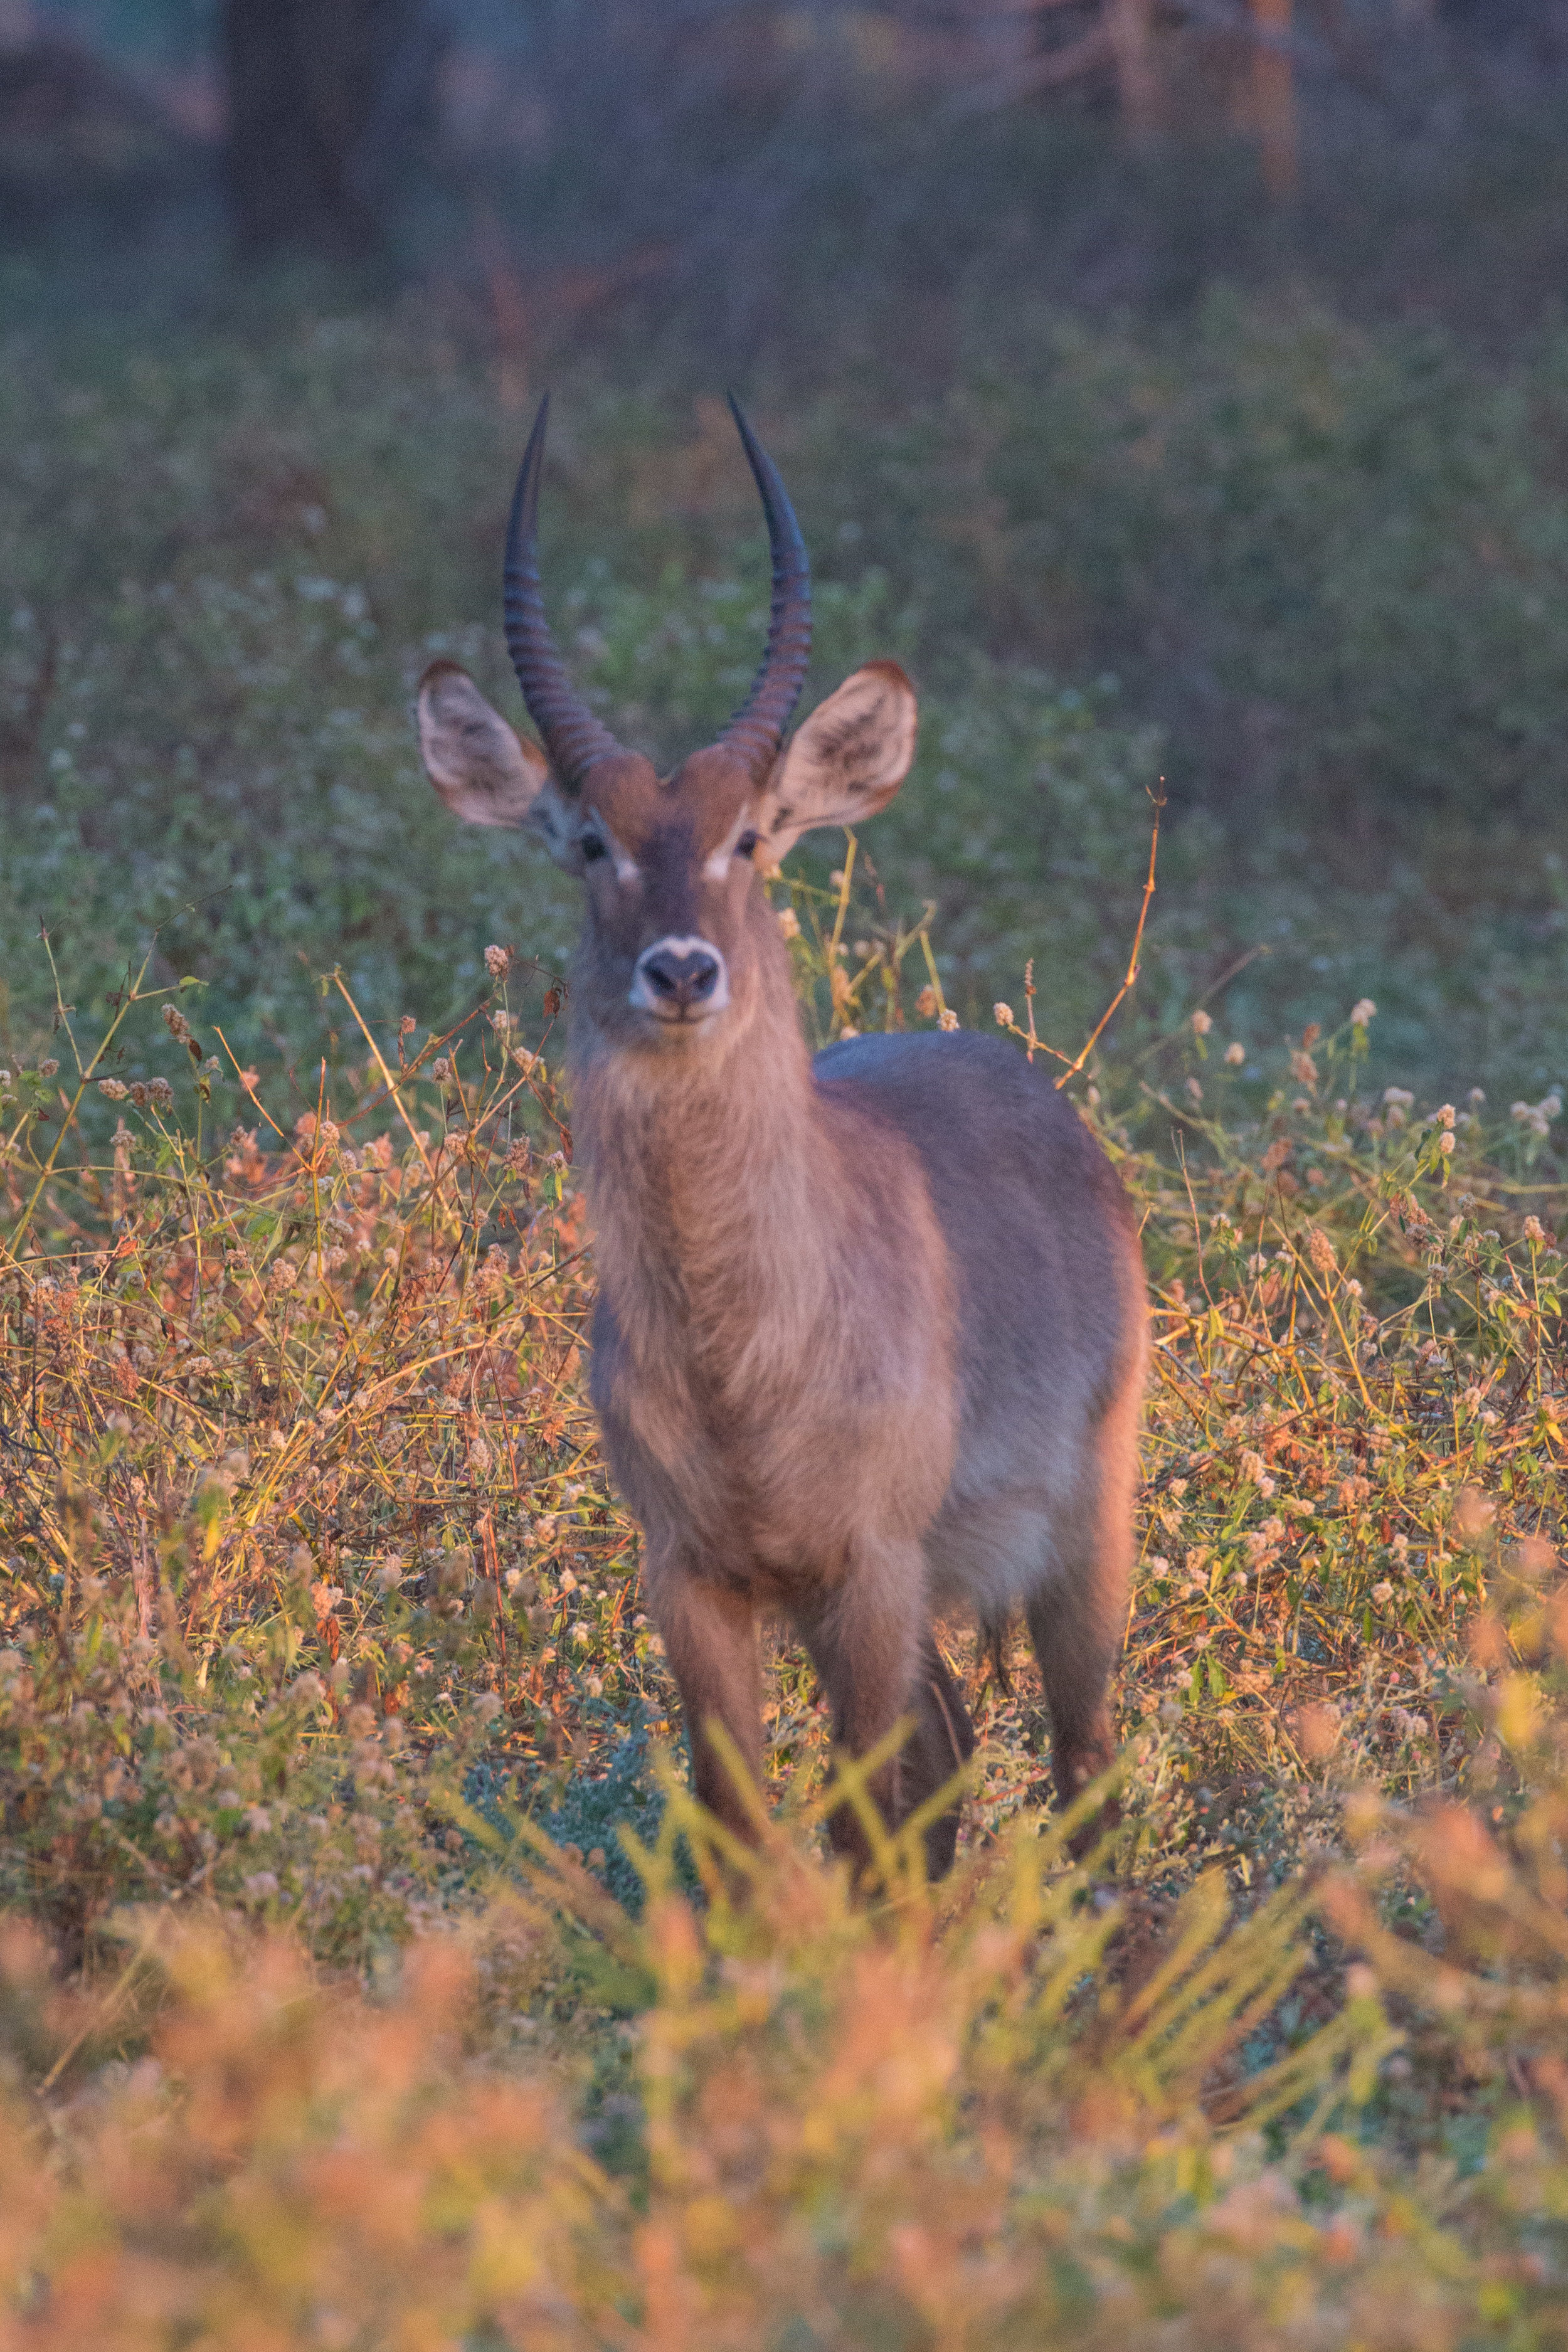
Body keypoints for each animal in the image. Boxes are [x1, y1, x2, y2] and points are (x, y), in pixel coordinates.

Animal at [420, 400, 1152, 1872]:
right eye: (589, 841)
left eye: (752, 836)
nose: (682, 971)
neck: (740, 1357)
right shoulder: (692, 1579)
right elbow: (739, 1822)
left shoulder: (865, 1570)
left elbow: (866, 1818)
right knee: (949, 1751)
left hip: (1084, 1534)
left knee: (1079, 1762)